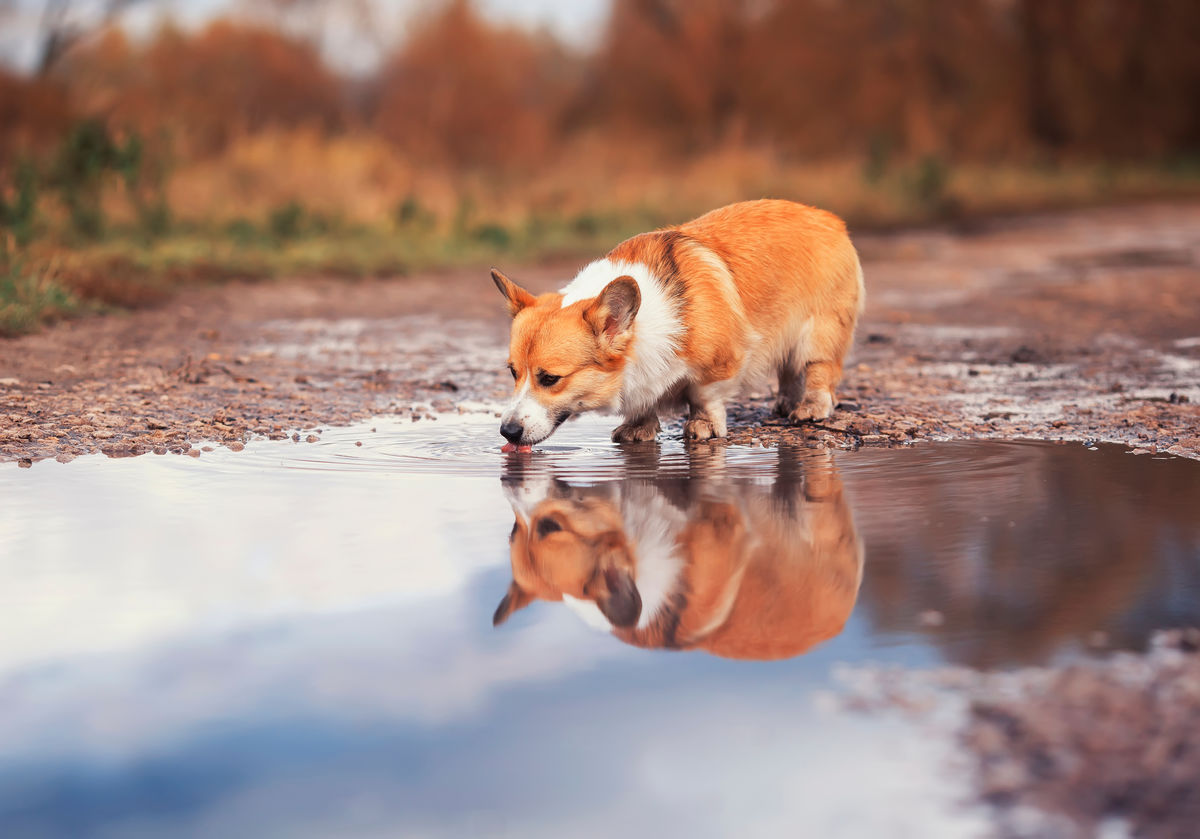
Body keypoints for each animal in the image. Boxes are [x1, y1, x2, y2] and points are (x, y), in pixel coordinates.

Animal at [489, 198, 864, 448]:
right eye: (512, 372)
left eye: (550, 379)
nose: (507, 432)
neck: (644, 324)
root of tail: (827, 217)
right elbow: (644, 402)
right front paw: (639, 427)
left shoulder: (721, 364)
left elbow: (704, 396)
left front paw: (703, 425)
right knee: (787, 368)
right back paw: (786, 402)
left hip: (818, 332)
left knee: (818, 369)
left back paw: (809, 406)